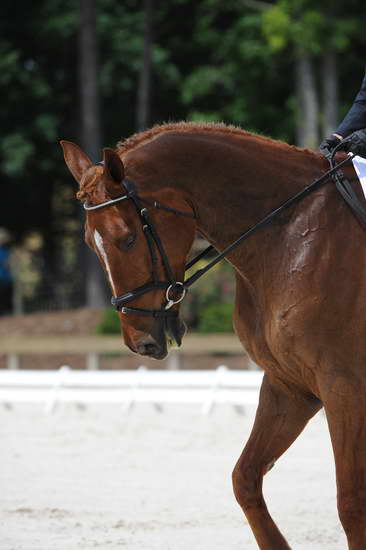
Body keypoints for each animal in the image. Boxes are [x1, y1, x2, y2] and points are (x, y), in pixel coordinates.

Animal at [60, 123, 366, 548]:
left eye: (128, 238)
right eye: (91, 243)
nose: (141, 342)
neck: (291, 236)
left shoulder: (344, 386)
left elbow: (351, 505)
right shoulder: (290, 386)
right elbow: (245, 479)